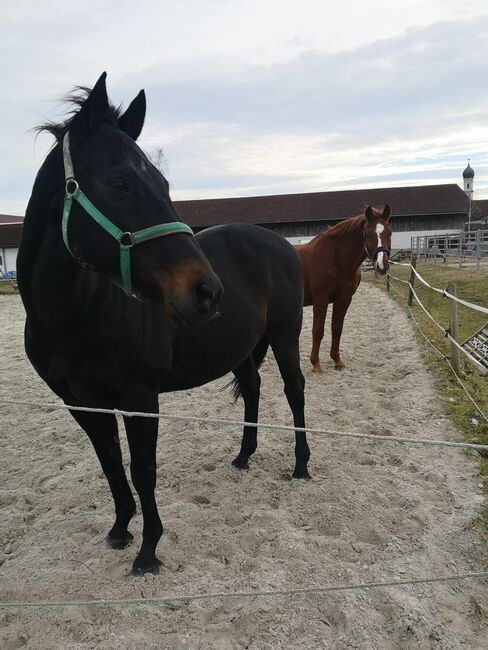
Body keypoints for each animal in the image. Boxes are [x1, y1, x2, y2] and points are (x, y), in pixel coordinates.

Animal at [20, 73, 308, 576]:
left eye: (163, 182)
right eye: (119, 183)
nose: (207, 291)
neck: (76, 313)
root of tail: (281, 244)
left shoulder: (140, 399)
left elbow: (143, 470)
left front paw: (149, 550)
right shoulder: (82, 403)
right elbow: (110, 464)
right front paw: (120, 530)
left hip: (285, 335)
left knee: (294, 390)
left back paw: (301, 466)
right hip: (239, 347)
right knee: (253, 388)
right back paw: (242, 457)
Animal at [294, 205, 392, 372]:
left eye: (389, 232)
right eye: (368, 235)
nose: (382, 266)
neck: (336, 259)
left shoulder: (344, 299)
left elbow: (337, 329)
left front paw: (337, 361)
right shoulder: (321, 300)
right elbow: (318, 331)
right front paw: (316, 364)